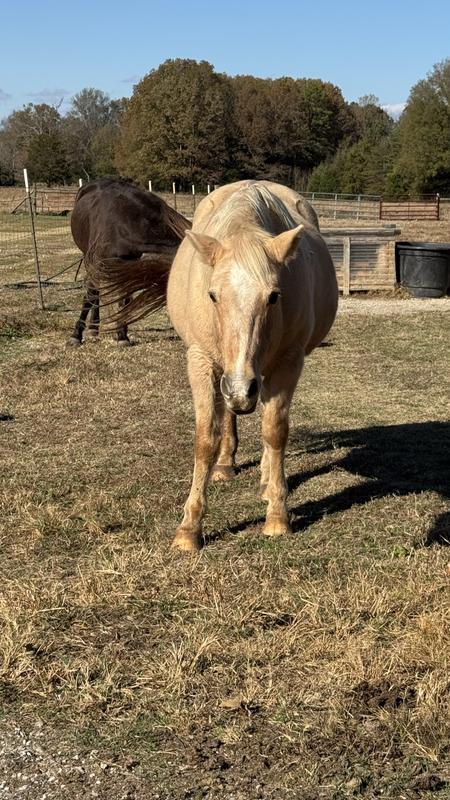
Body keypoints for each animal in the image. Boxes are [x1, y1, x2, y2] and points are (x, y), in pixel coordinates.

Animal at [68, 179, 191, 346]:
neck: (126, 220)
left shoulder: (129, 262)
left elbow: (124, 300)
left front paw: (122, 335)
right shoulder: (95, 262)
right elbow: (90, 296)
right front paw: (76, 335)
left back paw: (94, 326)